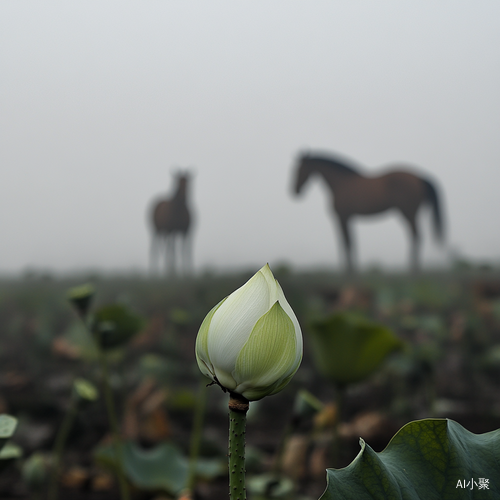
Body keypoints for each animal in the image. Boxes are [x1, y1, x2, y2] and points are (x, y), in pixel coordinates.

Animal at [292, 151, 446, 274]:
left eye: (299, 169)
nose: (294, 190)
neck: (341, 183)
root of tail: (420, 178)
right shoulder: (348, 218)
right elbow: (351, 242)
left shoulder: (342, 218)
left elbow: (346, 243)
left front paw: (349, 271)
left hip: (408, 214)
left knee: (416, 236)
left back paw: (412, 269)